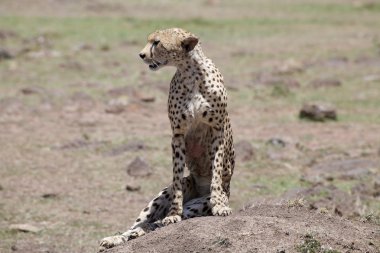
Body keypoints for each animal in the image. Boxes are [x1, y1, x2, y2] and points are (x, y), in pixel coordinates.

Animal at [98, 27, 235, 251]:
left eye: (157, 43)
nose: (141, 55)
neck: (190, 72)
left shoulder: (217, 130)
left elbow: (216, 169)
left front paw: (220, 206)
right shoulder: (178, 134)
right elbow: (176, 176)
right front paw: (173, 215)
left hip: (197, 205)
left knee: (153, 225)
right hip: (161, 197)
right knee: (142, 224)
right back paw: (115, 238)